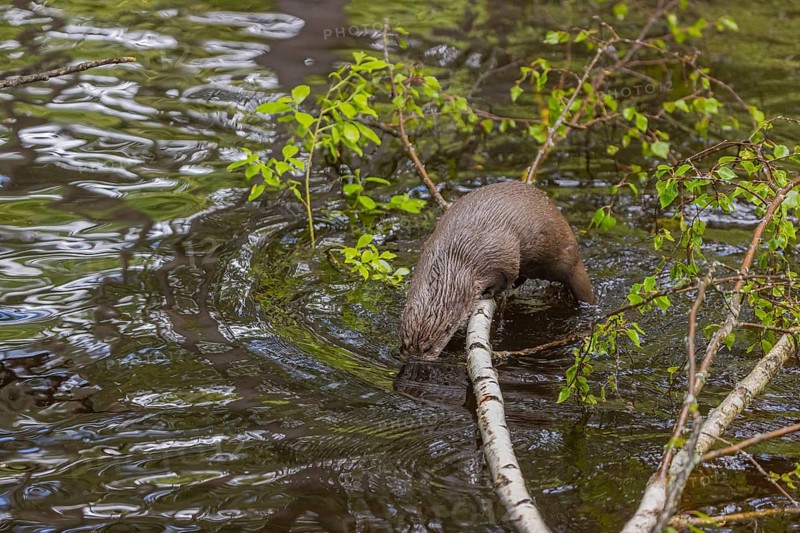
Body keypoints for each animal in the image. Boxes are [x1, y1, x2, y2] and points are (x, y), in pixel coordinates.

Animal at [399, 180, 595, 360]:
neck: (456, 252)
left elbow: (506, 277)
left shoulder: (503, 255)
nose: (414, 358)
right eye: (406, 343)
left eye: (427, 348)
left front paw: (489, 292)